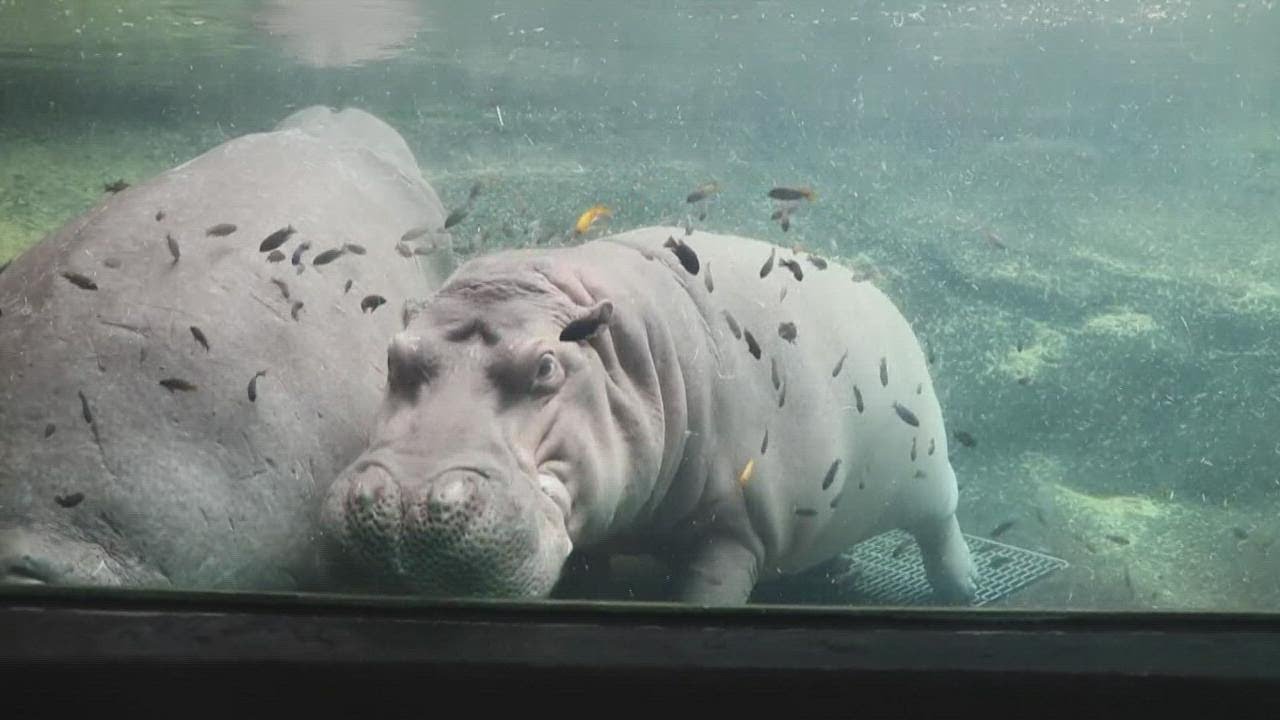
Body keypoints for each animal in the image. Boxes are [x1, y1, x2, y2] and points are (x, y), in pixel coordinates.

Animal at [319, 226, 978, 606]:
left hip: (929, 465)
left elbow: (707, 595)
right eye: (395, 354)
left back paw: (961, 591)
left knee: (941, 523)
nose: (402, 501)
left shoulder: (733, 527)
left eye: (546, 367)